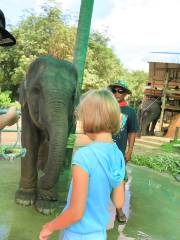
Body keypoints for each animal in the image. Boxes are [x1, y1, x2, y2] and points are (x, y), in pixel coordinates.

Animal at [15, 55, 80, 214]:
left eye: (73, 95)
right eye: (36, 90)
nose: (41, 179)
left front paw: (46, 207)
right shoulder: (26, 107)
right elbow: (30, 139)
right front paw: (24, 199)